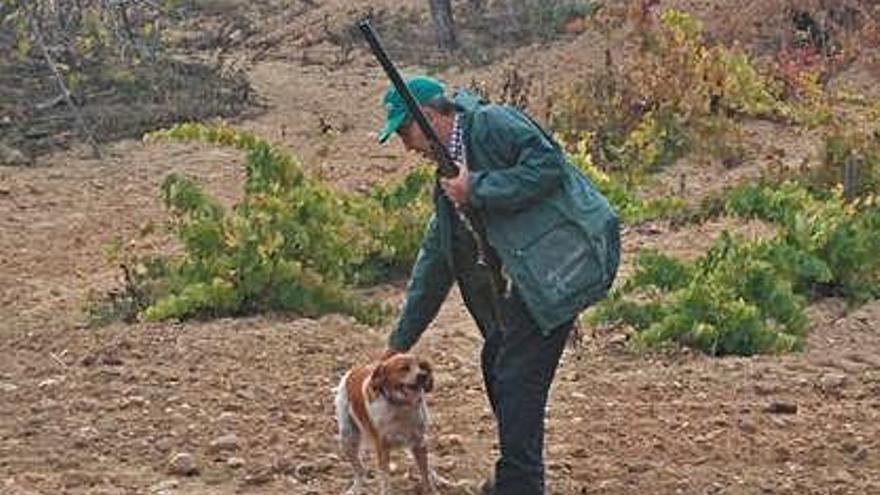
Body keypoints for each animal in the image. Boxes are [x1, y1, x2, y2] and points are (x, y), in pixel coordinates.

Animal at [334, 354, 436, 494]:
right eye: (404, 368)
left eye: (421, 366)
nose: (423, 375)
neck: (400, 407)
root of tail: (354, 371)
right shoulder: (382, 447)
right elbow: (385, 478)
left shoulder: (419, 442)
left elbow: (425, 473)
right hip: (347, 439)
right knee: (360, 471)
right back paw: (355, 488)